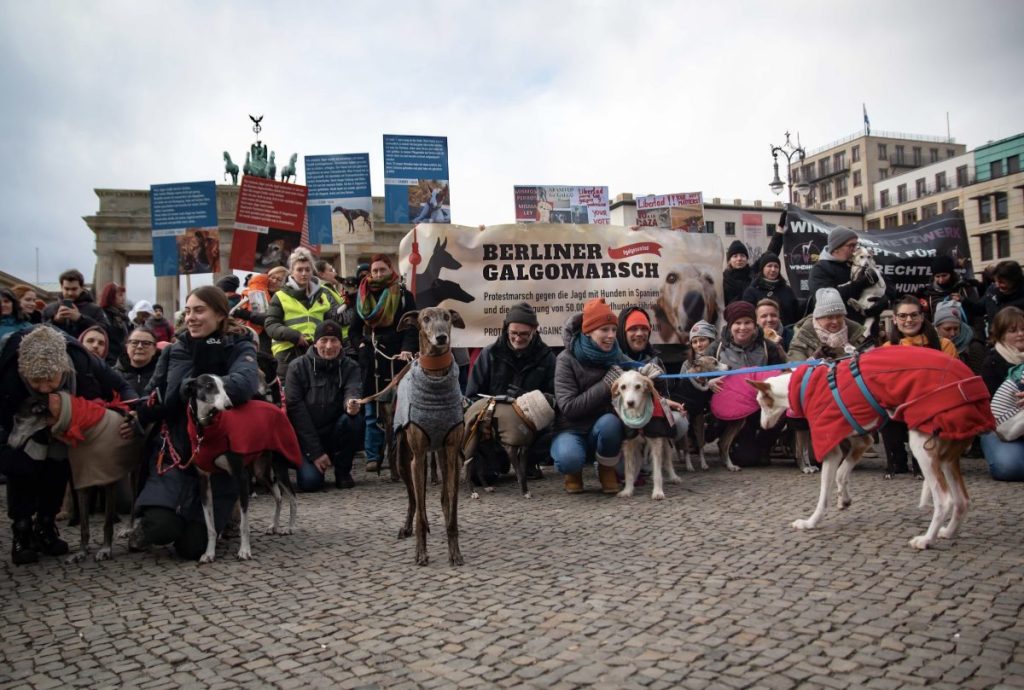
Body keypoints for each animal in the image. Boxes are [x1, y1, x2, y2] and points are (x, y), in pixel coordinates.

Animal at [187, 372, 299, 561]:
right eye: (209, 386)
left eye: (224, 386)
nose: (228, 405)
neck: (207, 429)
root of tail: (274, 405)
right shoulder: (204, 481)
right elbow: (210, 525)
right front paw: (209, 553)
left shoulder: (241, 478)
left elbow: (244, 524)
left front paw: (244, 550)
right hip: (261, 472)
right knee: (278, 496)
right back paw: (273, 525)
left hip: (279, 467)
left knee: (292, 497)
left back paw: (289, 527)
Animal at [393, 307, 466, 565]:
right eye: (425, 319)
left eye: (447, 318)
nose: (441, 338)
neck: (435, 376)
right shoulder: (418, 455)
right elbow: (422, 513)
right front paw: (421, 552)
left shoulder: (453, 451)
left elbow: (452, 510)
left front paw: (455, 553)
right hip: (404, 460)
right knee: (414, 500)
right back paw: (406, 527)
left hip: (442, 455)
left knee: (444, 499)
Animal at [753, 350, 991, 548]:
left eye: (761, 403)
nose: (762, 426)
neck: (804, 384)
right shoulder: (863, 441)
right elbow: (841, 474)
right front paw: (844, 499)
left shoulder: (831, 449)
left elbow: (823, 494)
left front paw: (811, 522)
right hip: (947, 457)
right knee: (962, 501)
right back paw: (948, 533)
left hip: (922, 447)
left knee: (944, 500)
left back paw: (925, 540)